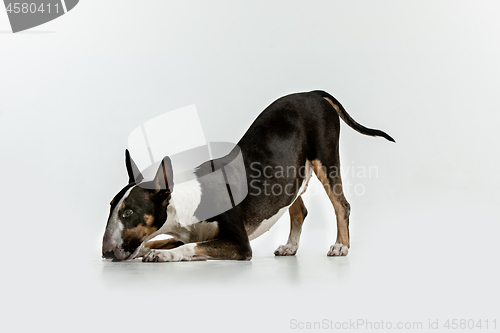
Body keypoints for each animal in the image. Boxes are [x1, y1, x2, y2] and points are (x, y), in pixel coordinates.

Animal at [102, 89, 394, 260]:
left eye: (129, 212)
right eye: (111, 207)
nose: (106, 253)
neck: (185, 206)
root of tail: (312, 92)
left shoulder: (239, 244)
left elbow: (188, 248)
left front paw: (161, 256)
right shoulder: (190, 234)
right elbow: (163, 240)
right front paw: (147, 249)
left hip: (326, 161)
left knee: (341, 205)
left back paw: (341, 246)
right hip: (290, 176)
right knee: (298, 210)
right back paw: (290, 247)